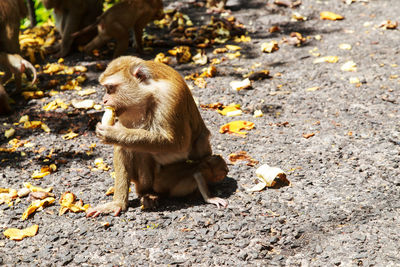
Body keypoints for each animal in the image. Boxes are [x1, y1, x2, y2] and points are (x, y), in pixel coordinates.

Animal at [88, 56, 230, 218]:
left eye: (110, 88)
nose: (104, 100)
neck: (149, 92)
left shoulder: (170, 97)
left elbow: (176, 143)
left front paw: (113, 133)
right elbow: (123, 147)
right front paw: (117, 203)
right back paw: (145, 193)